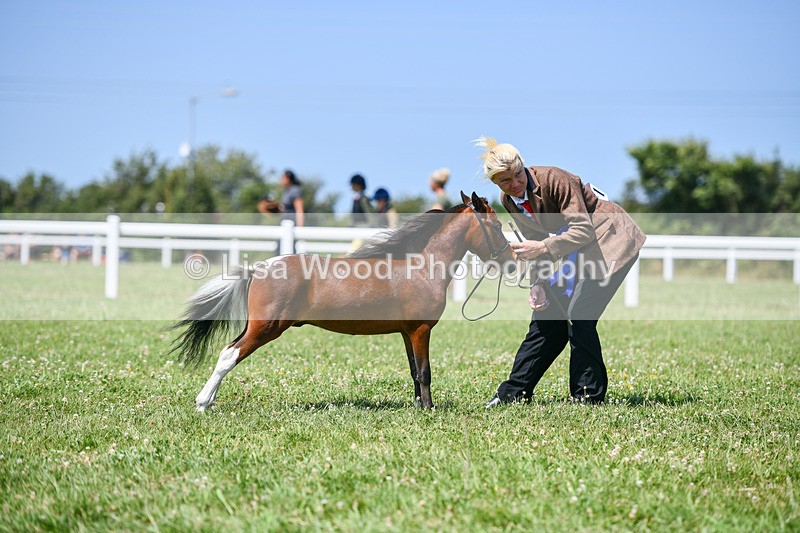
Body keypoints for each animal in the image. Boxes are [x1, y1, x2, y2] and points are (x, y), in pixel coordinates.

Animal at [169, 191, 514, 410]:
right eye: (497, 226)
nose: (511, 262)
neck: (421, 266)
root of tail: (260, 267)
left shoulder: (407, 332)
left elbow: (414, 371)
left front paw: (419, 405)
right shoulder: (421, 330)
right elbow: (425, 371)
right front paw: (430, 409)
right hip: (265, 328)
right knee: (229, 355)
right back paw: (203, 403)